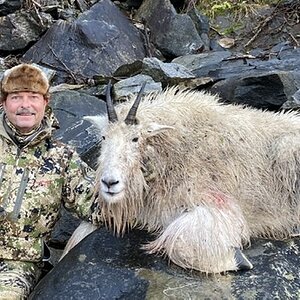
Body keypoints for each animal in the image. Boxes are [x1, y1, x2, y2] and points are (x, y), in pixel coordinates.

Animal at [65, 82, 300, 274]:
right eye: (104, 137)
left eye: (135, 138)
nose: (109, 183)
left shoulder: (215, 202)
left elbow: (180, 245)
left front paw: (238, 259)